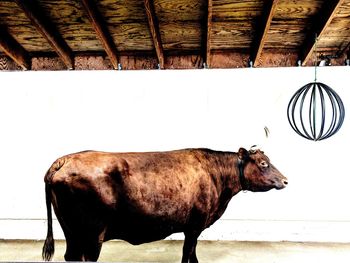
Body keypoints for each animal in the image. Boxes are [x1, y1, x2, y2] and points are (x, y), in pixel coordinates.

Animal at [42, 147, 288, 262]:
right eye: (263, 163)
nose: (286, 180)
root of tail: (64, 160)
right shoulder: (195, 225)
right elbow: (188, 253)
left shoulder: (193, 227)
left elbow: (192, 254)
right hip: (92, 234)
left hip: (72, 232)